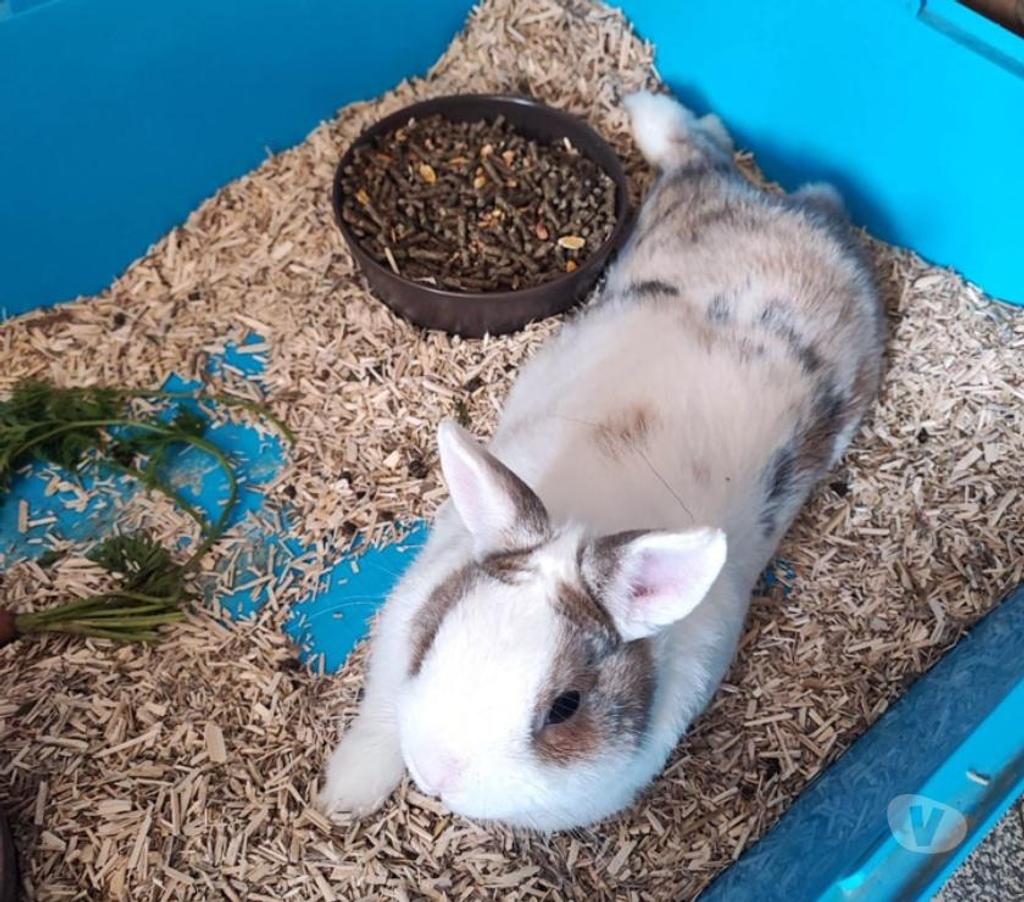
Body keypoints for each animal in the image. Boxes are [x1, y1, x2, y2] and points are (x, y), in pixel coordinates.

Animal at [317, 92, 884, 832]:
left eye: (566, 707)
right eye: (435, 636)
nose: (438, 775)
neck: (590, 517)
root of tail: (786, 214)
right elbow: (380, 724)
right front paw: (342, 798)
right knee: (704, 150)